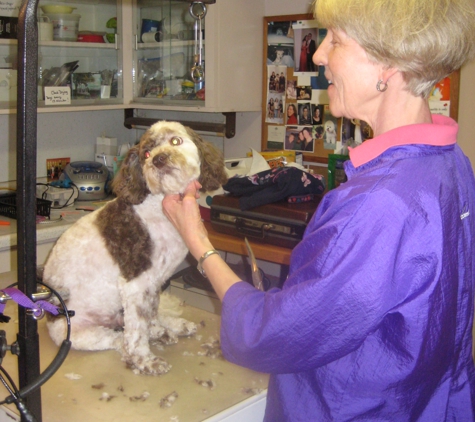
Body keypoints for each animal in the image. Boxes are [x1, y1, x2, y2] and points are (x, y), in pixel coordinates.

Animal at [44, 121, 229, 376]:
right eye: (147, 154)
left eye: (175, 141)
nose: (159, 159)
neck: (158, 207)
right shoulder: (136, 282)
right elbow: (138, 329)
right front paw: (145, 360)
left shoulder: (154, 281)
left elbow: (150, 313)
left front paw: (157, 329)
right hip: (78, 333)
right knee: (119, 339)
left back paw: (170, 327)